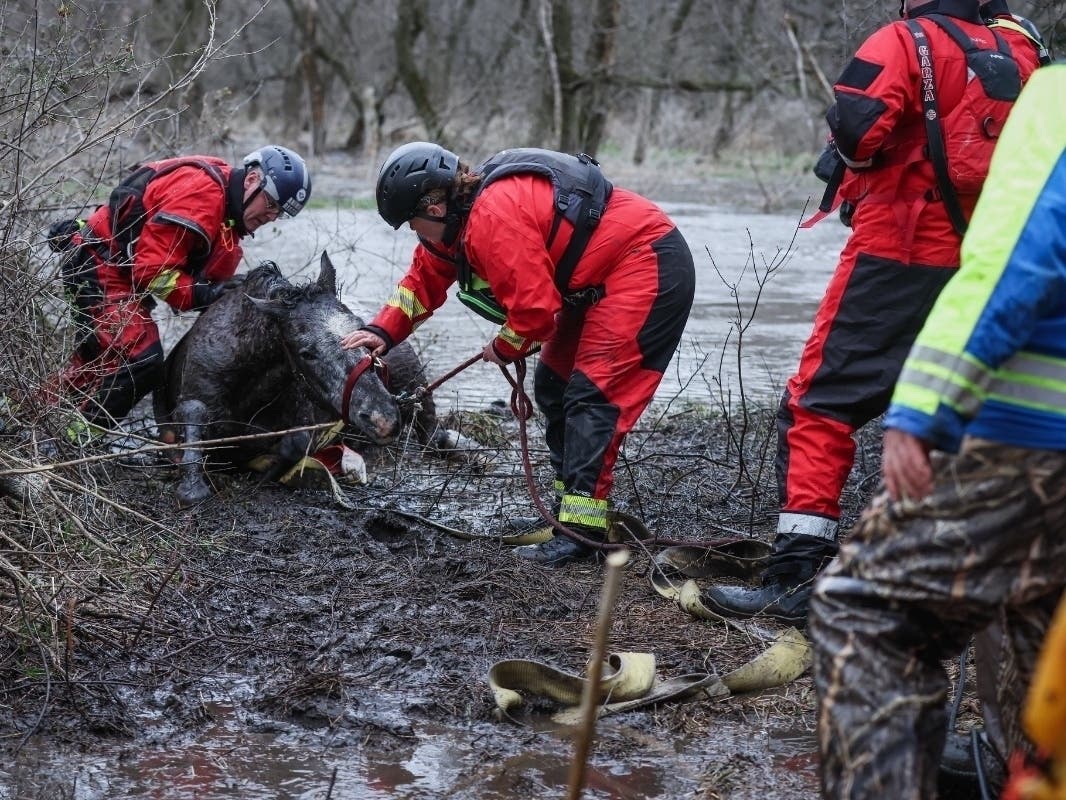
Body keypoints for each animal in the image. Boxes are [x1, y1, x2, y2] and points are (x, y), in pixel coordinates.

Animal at [154, 251, 455, 508]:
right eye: (306, 352)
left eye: (361, 330)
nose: (383, 420)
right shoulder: (191, 400)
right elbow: (192, 421)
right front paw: (192, 487)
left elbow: (296, 443)